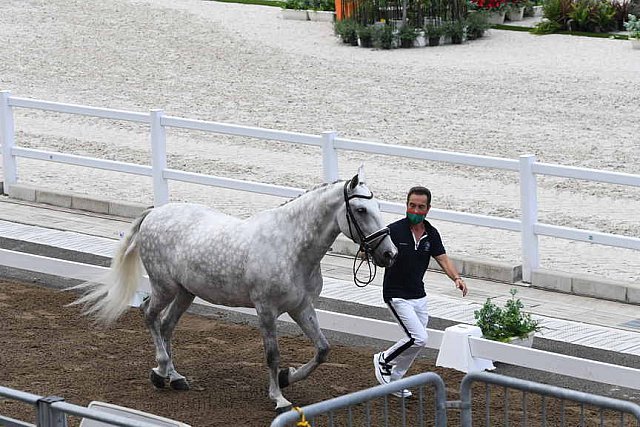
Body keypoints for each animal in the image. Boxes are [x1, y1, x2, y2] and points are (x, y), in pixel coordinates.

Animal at [74, 169, 396, 412]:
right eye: (361, 209)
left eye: (378, 208)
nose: (389, 255)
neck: (290, 246)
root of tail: (156, 212)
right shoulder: (266, 310)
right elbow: (272, 354)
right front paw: (278, 397)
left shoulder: (301, 307)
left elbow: (322, 349)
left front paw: (287, 377)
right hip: (164, 287)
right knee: (149, 315)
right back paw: (160, 371)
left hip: (185, 292)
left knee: (166, 325)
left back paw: (175, 377)